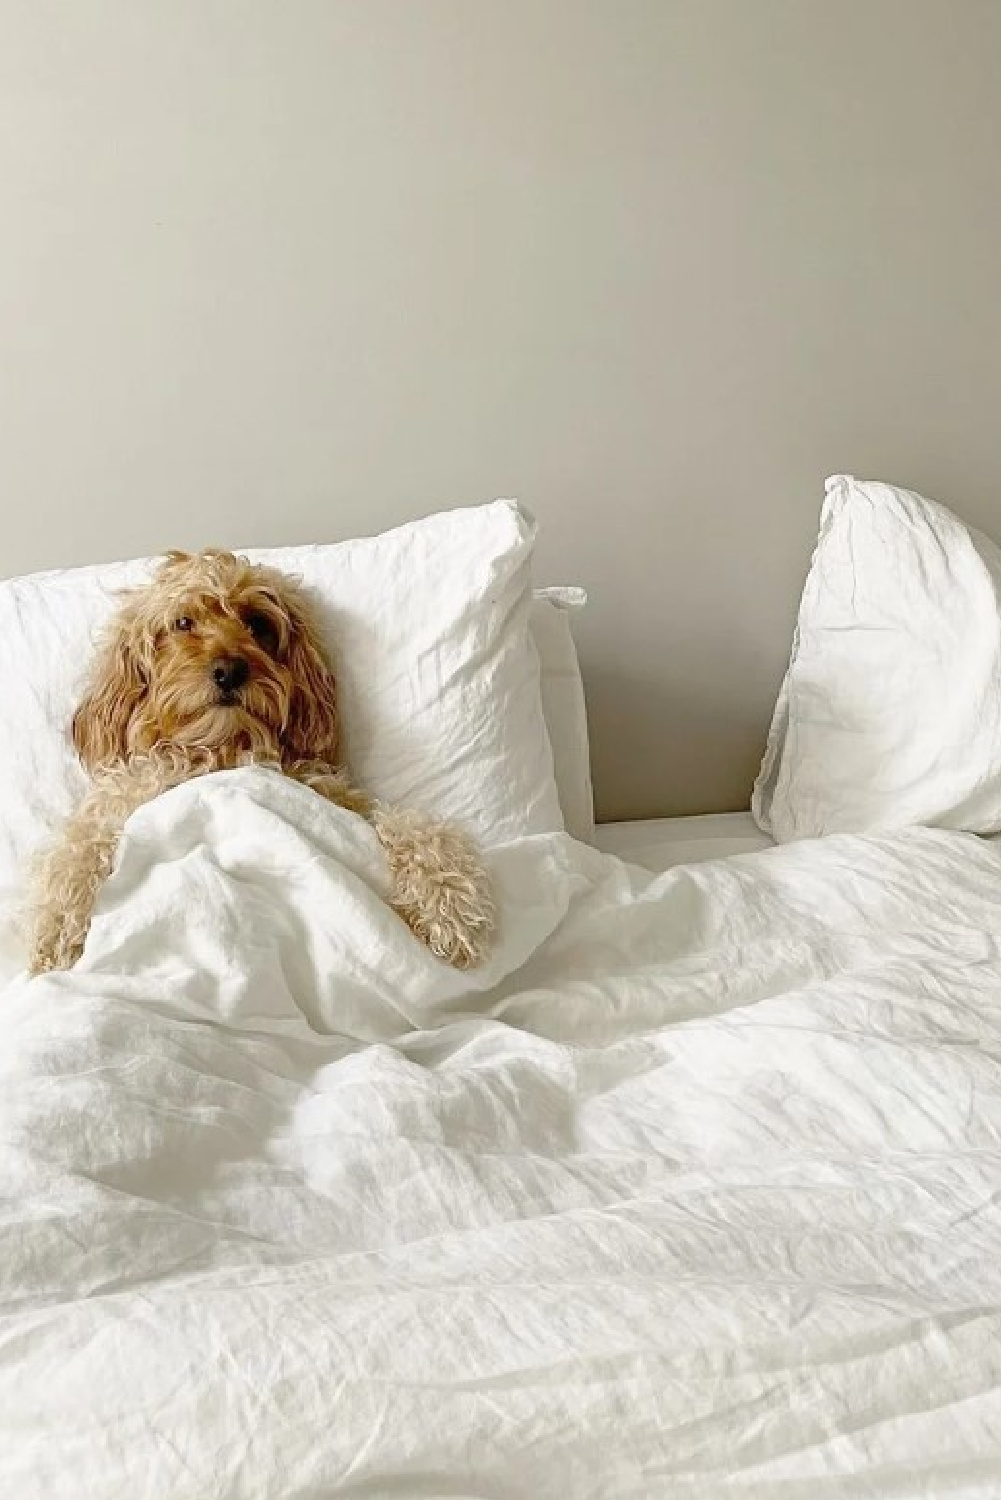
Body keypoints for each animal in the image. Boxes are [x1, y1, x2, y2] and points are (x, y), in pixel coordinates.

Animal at [29, 549, 498, 972]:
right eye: (182, 623)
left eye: (257, 623)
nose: (229, 671)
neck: (223, 749)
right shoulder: (127, 796)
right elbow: (80, 845)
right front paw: (56, 927)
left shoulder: (341, 801)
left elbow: (414, 827)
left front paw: (449, 906)